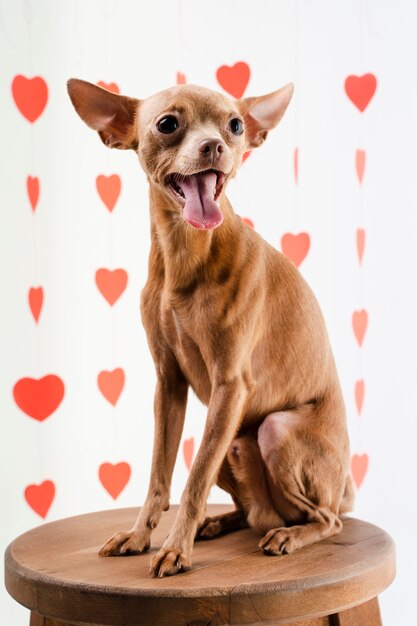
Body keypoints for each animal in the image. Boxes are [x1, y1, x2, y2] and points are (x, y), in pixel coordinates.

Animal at [67, 77, 352, 576]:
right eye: (167, 124)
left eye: (235, 125)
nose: (215, 145)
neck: (184, 253)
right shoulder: (169, 385)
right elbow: (159, 476)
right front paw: (141, 536)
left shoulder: (231, 386)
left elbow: (192, 479)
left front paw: (175, 548)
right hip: (231, 440)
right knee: (251, 511)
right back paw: (219, 524)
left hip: (273, 429)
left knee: (325, 518)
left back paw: (290, 536)